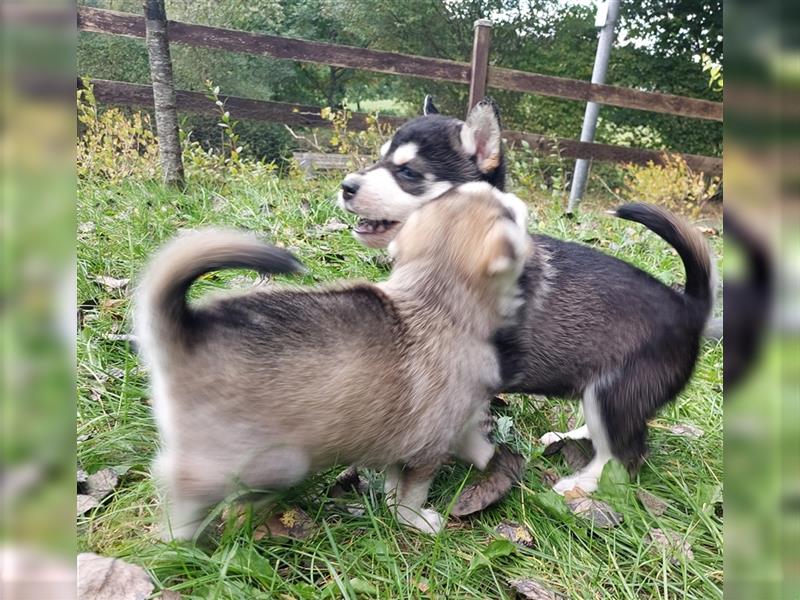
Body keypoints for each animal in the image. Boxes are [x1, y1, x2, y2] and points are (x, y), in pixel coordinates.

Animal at [340, 97, 716, 492]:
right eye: (379, 159)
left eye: (409, 173)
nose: (346, 186)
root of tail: (690, 305)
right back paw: (570, 437)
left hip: (614, 393)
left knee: (627, 454)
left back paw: (582, 484)